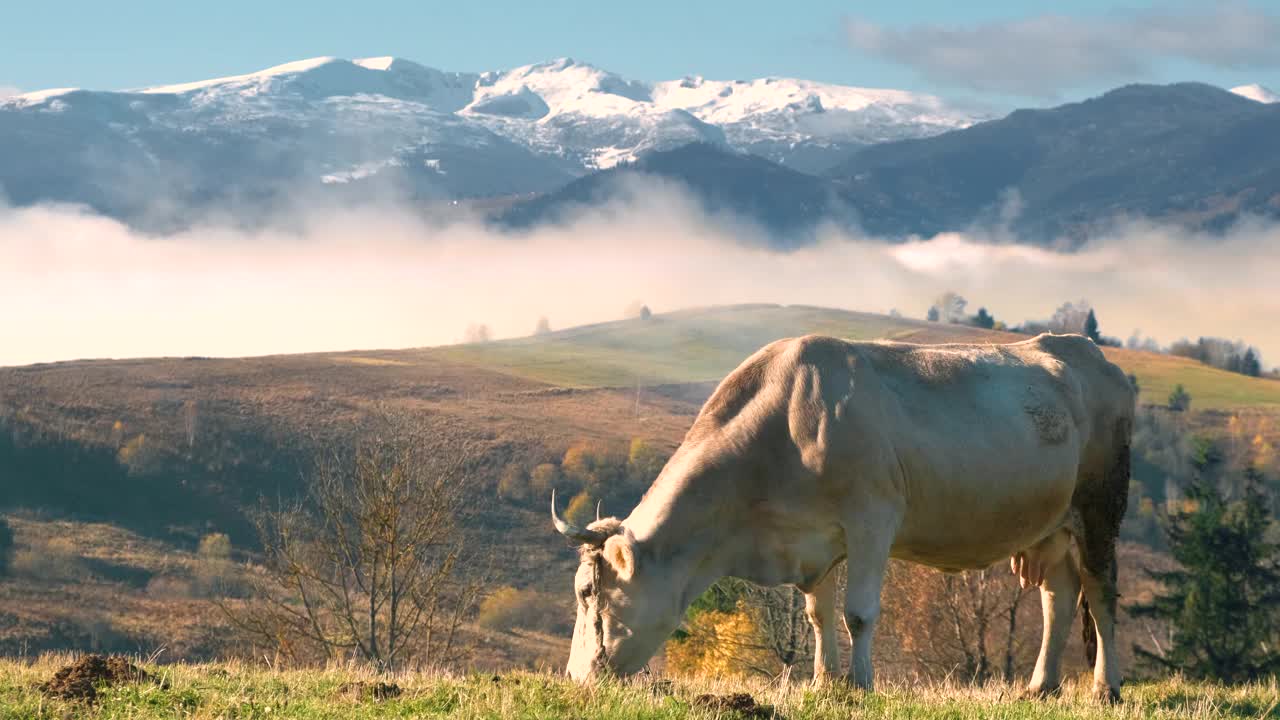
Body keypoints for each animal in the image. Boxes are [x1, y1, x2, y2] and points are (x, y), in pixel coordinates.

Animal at [555, 333, 1136, 702]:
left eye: (588, 592)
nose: (575, 678)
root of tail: (1088, 352)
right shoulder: (815, 540)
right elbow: (818, 613)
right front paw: (822, 682)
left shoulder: (872, 520)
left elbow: (858, 612)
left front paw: (861, 684)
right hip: (1052, 525)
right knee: (1059, 597)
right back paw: (1040, 687)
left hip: (1100, 508)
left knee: (1101, 591)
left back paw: (1105, 688)